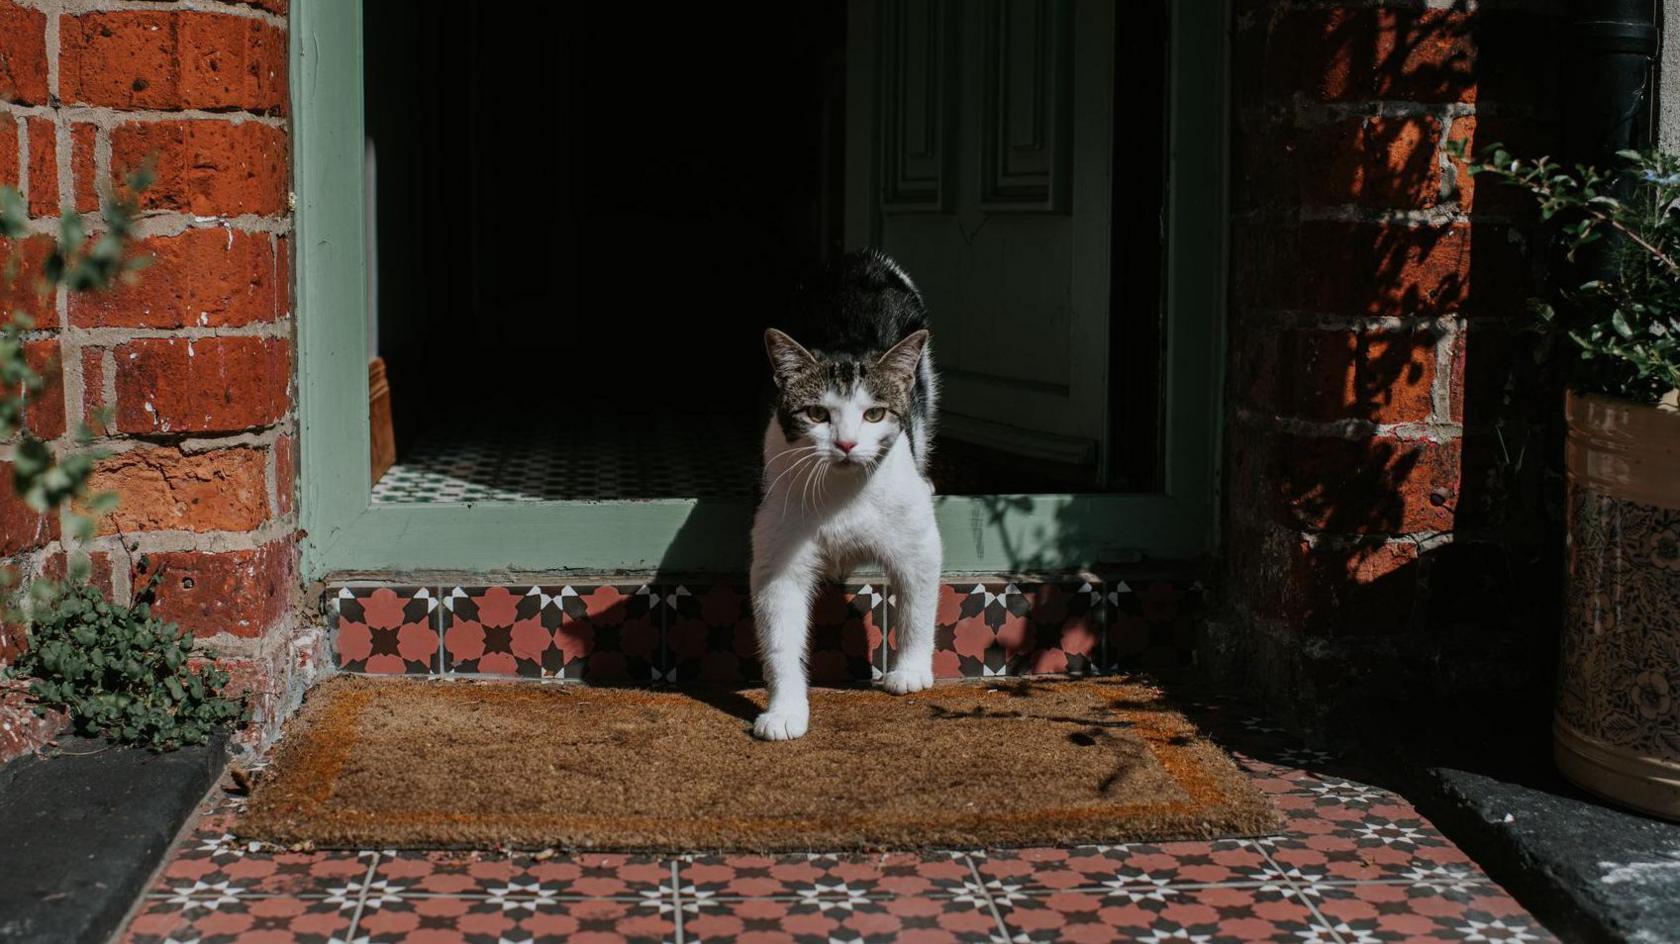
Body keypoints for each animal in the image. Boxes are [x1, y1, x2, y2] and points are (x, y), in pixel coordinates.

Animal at [752, 246, 940, 739]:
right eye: (817, 413)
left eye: (874, 414)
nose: (847, 443)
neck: (842, 493)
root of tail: (855, 257)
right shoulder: (778, 555)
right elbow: (780, 637)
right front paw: (785, 710)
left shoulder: (918, 541)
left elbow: (917, 602)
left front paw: (911, 670)